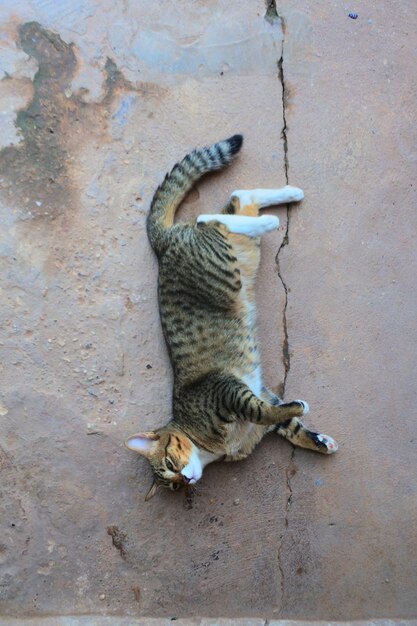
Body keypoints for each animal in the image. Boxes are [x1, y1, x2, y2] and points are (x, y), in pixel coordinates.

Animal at [123, 134, 334, 500]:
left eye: (169, 462)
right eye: (173, 484)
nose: (187, 479)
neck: (213, 450)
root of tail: (163, 243)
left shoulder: (228, 391)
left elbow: (266, 411)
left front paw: (300, 409)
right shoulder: (259, 395)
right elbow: (286, 423)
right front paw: (318, 440)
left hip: (223, 269)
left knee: (208, 218)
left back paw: (270, 221)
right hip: (241, 255)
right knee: (237, 199)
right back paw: (289, 194)